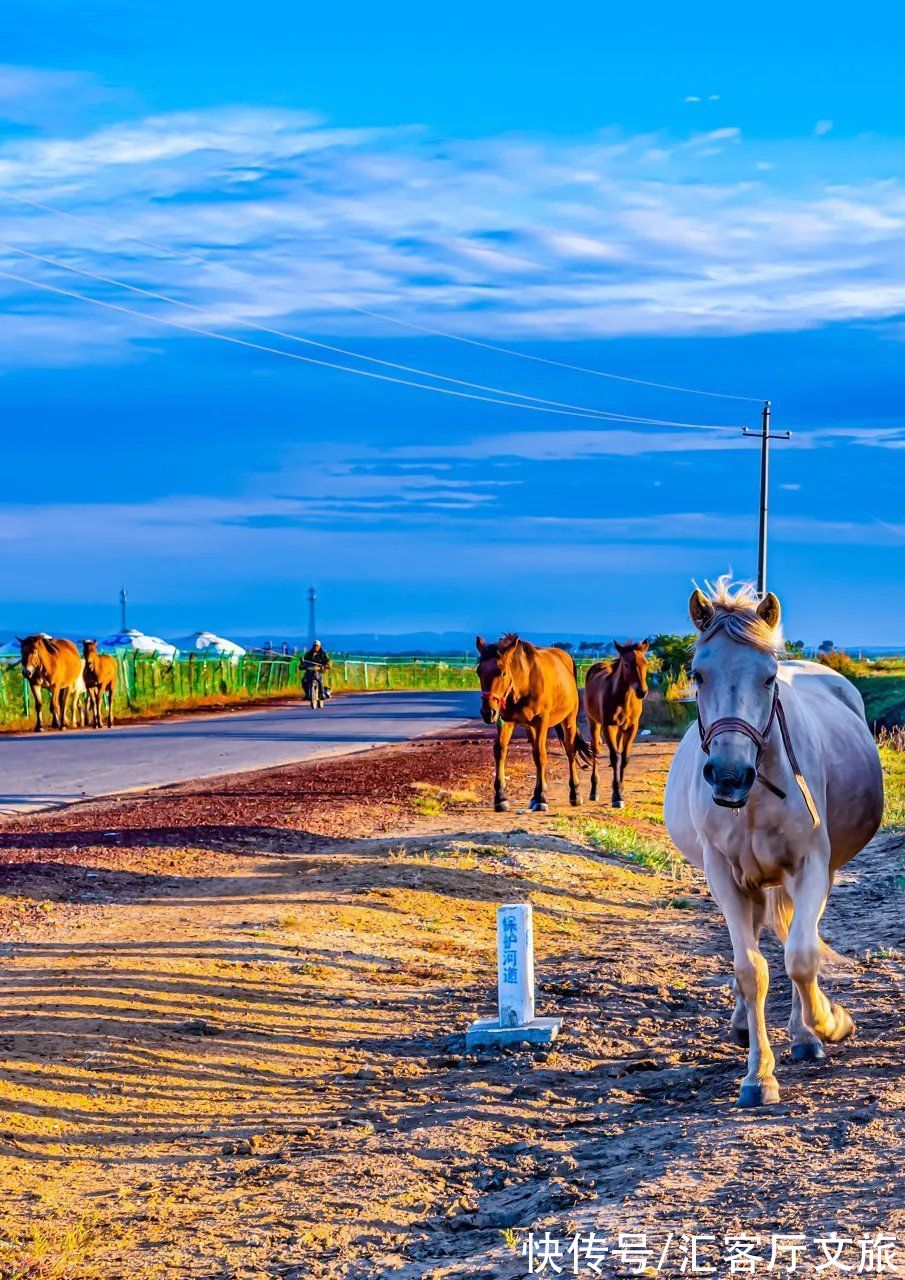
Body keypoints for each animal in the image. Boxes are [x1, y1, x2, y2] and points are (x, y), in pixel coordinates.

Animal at [473, 634, 593, 814]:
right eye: (479, 672)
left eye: (502, 672)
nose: (488, 712)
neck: (524, 683)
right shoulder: (505, 720)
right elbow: (500, 750)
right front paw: (500, 797)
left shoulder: (541, 721)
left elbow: (540, 755)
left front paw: (541, 797)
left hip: (569, 719)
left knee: (570, 750)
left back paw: (574, 793)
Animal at [583, 640, 647, 808]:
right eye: (626, 664)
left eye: (645, 663)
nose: (642, 692)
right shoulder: (608, 726)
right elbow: (615, 757)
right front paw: (617, 796)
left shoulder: (632, 727)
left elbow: (624, 758)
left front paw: (619, 789)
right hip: (594, 723)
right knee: (596, 750)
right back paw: (594, 790)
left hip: (619, 729)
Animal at [665, 583, 885, 1111]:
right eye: (697, 674)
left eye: (768, 679)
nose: (729, 775)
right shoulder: (724, 877)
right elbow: (751, 970)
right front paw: (758, 1075)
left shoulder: (811, 867)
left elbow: (801, 956)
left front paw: (827, 1023)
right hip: (752, 884)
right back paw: (746, 1024)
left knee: (792, 941)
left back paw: (804, 1034)